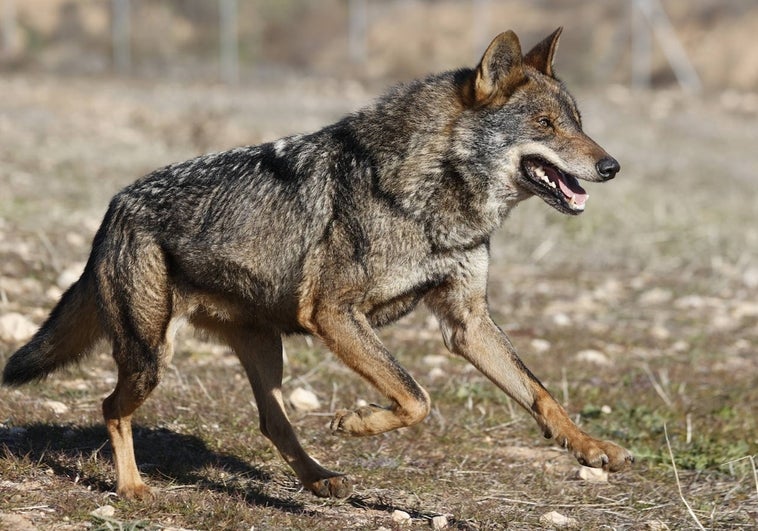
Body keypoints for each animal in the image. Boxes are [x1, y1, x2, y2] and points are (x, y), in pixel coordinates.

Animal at [2, 29, 636, 500]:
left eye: (578, 121)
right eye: (546, 126)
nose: (612, 167)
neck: (434, 197)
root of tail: (115, 204)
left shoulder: (466, 323)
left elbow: (538, 392)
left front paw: (591, 447)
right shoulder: (333, 314)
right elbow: (416, 398)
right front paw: (357, 422)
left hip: (262, 351)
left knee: (272, 422)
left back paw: (319, 480)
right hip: (151, 360)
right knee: (110, 408)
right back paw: (132, 488)